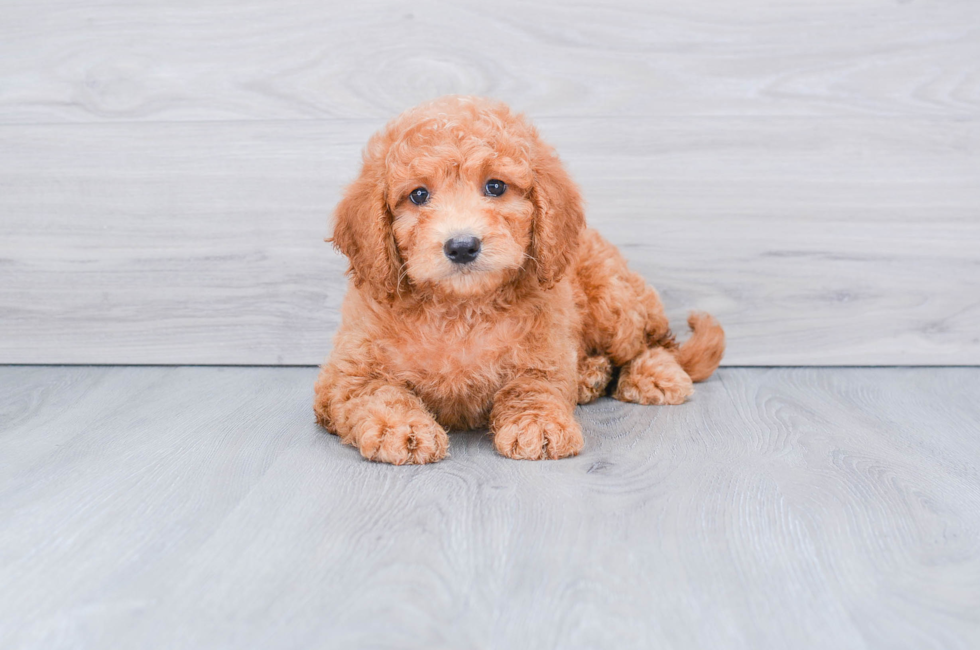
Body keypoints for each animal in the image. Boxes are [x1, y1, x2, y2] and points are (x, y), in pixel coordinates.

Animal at [314, 93, 720, 464]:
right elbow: (377, 392)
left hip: (612, 300)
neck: (459, 309)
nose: (462, 246)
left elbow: (533, 387)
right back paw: (591, 374)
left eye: (495, 186)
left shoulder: (544, 355)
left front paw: (537, 424)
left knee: (653, 343)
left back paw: (652, 374)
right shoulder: (345, 374)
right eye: (418, 195)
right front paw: (401, 428)